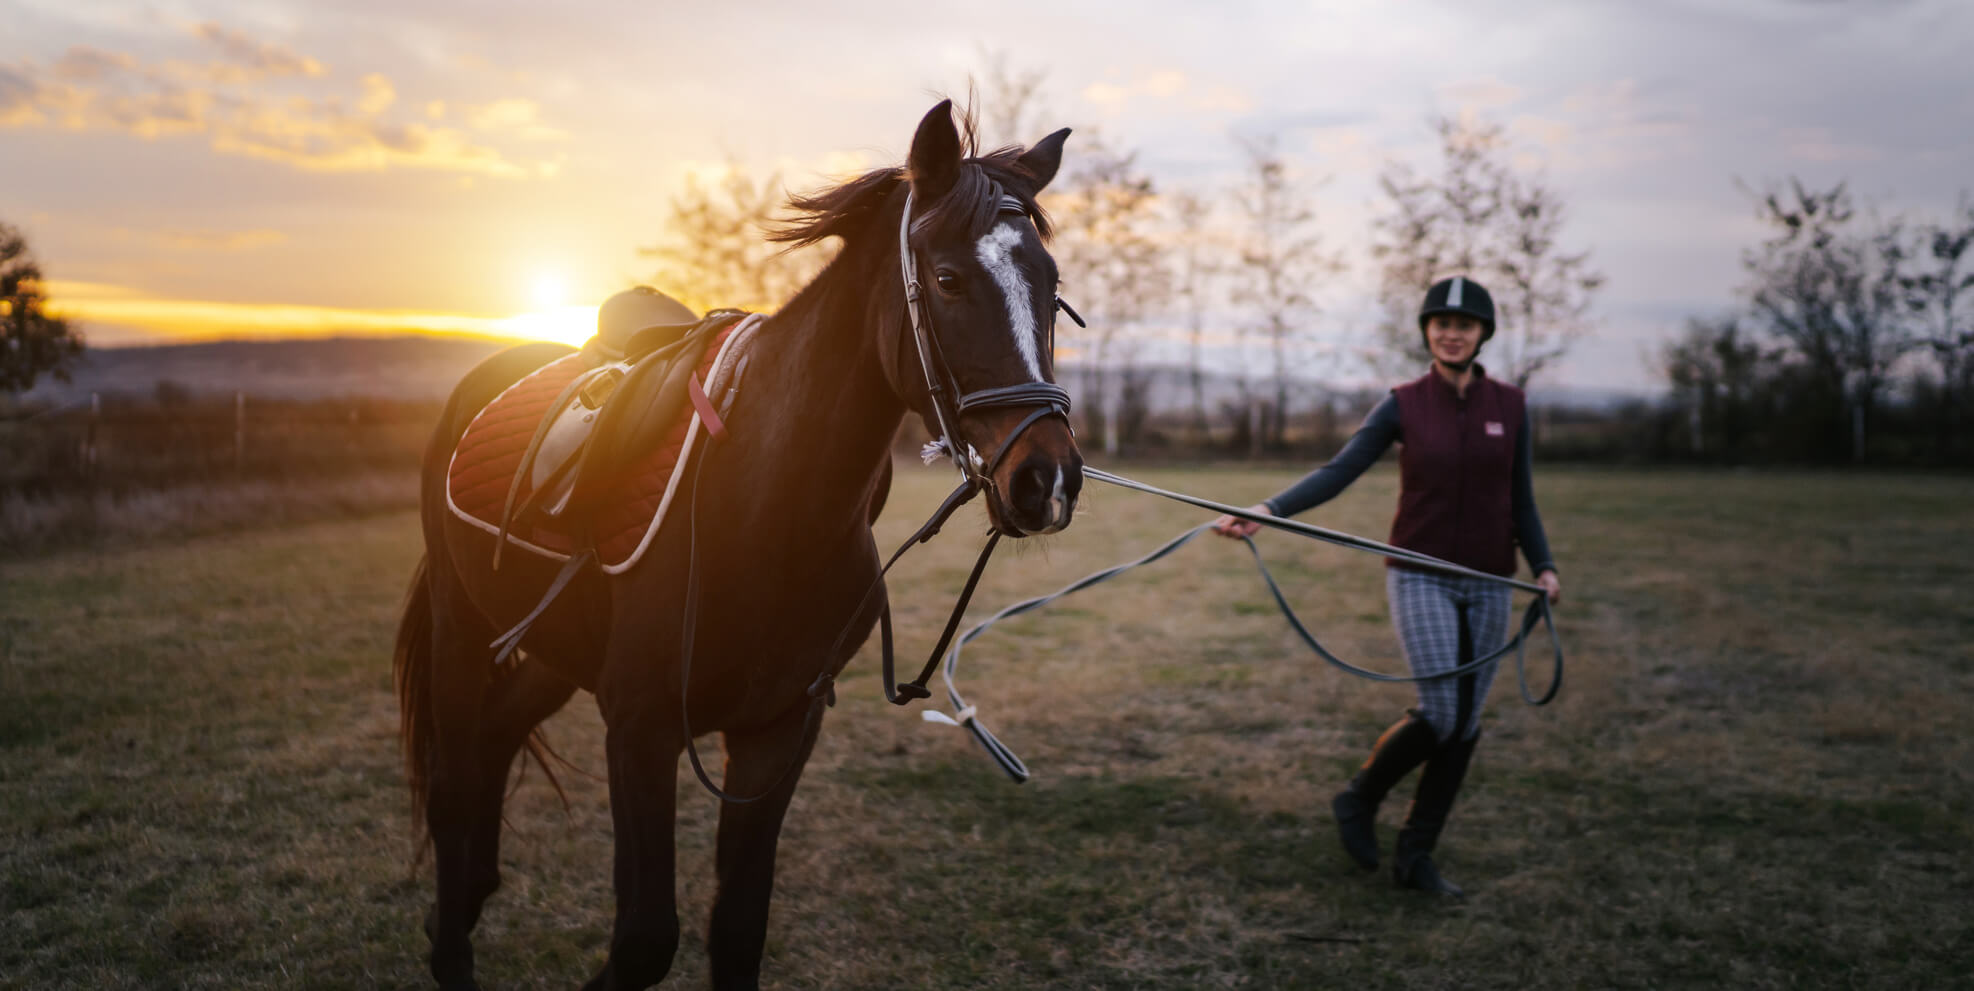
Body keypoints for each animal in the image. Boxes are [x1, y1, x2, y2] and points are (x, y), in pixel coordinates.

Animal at [392, 100, 1084, 991]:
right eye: (947, 280)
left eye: (1052, 287)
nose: (1048, 478)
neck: (767, 507)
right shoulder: (641, 724)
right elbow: (646, 934)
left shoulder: (778, 726)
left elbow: (738, 927)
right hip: (462, 624)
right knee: (451, 782)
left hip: (552, 648)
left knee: (493, 738)